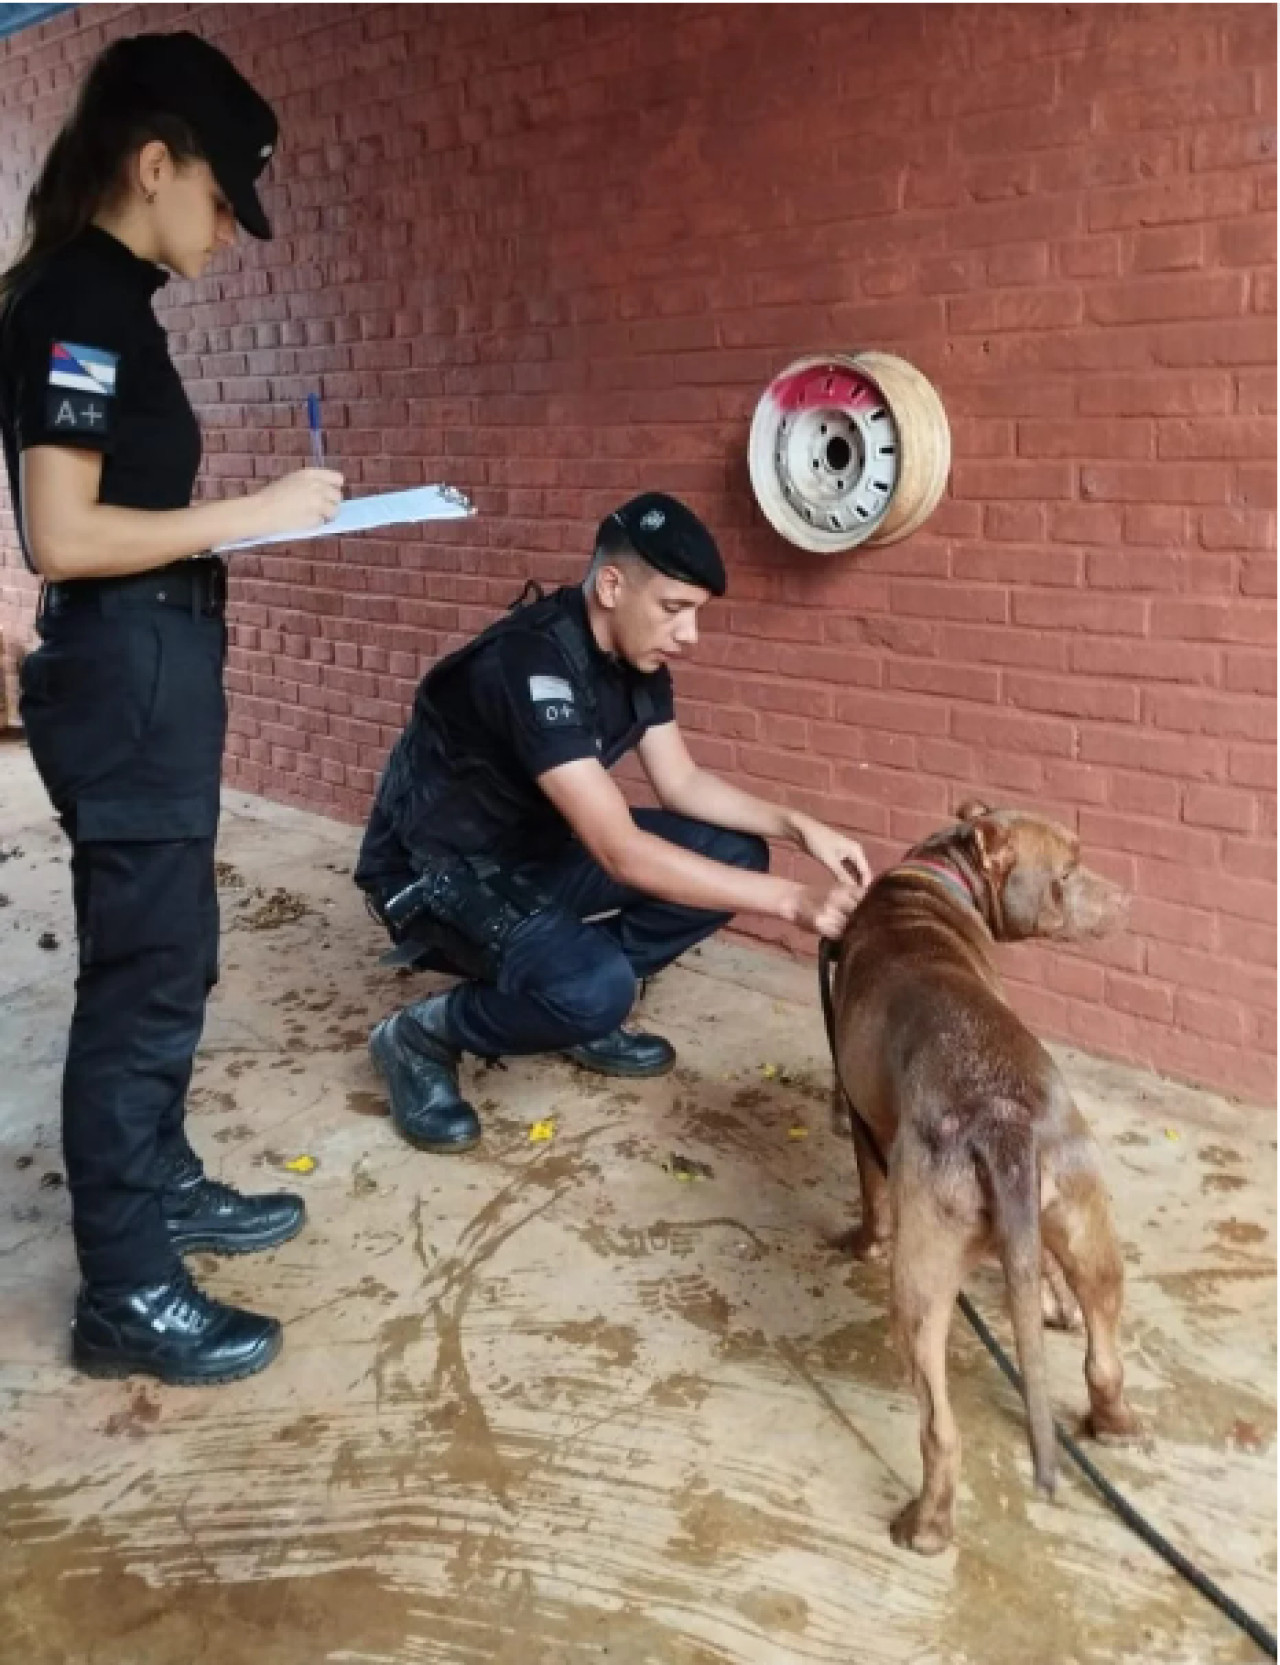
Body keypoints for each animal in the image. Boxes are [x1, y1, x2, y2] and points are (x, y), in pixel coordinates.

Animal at [828, 799, 1138, 1551]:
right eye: (1067, 871)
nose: (1131, 899)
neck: (941, 871)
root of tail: (1001, 1122)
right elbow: (1044, 1271)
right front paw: (1053, 1304)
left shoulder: (860, 1117)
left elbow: (870, 1200)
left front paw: (860, 1242)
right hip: (1088, 1221)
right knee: (1104, 1354)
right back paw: (1113, 1424)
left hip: (918, 1284)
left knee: (939, 1429)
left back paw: (926, 1525)